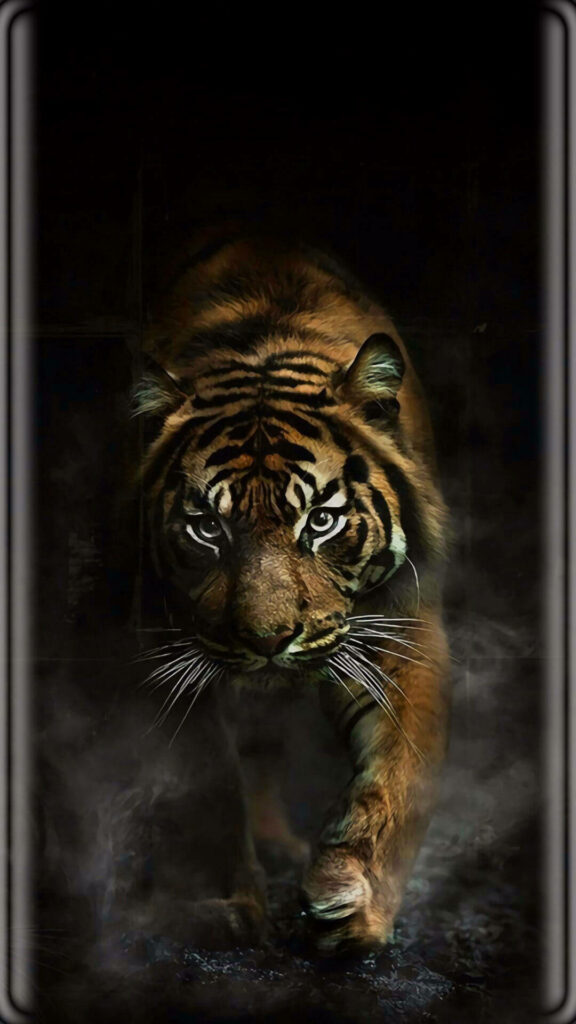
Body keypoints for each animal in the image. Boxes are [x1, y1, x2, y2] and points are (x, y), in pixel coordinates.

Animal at [132, 227, 451, 954]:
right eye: (207, 527)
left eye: (322, 521)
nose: (269, 638)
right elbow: (211, 783)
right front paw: (229, 904)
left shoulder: (401, 627)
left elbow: (399, 773)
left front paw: (353, 901)